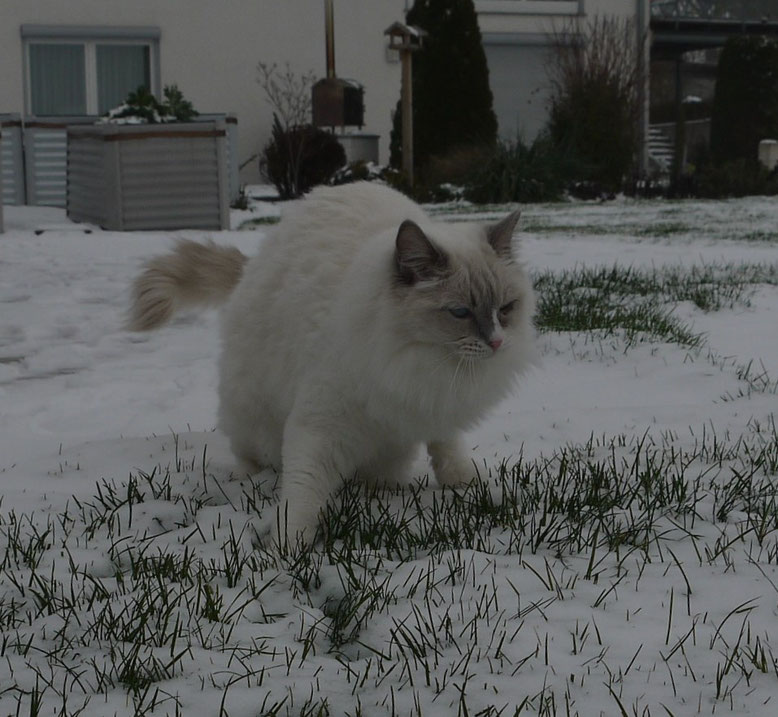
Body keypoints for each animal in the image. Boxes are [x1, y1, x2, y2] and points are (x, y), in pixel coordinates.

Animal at [130, 182, 536, 544]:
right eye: (460, 312)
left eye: (505, 308)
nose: (497, 341)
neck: (415, 361)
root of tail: (253, 264)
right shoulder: (322, 426)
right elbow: (303, 494)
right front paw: (287, 550)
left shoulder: (435, 402)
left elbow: (447, 446)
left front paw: (464, 483)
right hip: (253, 418)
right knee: (249, 454)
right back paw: (248, 477)